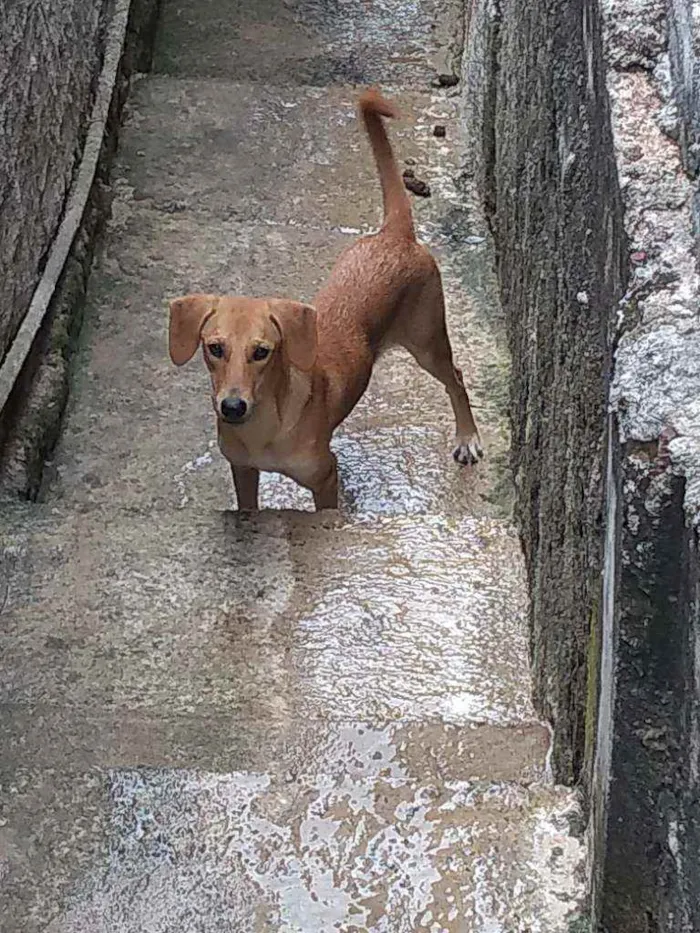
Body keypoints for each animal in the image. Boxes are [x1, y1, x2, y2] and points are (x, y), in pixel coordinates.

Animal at [168, 87, 482, 510]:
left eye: (262, 352)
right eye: (214, 348)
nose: (232, 407)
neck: (264, 427)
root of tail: (394, 234)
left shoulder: (324, 480)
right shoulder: (243, 472)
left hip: (428, 341)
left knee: (457, 378)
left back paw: (467, 437)